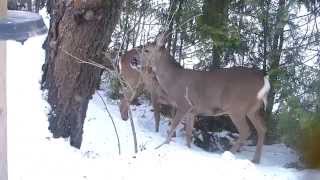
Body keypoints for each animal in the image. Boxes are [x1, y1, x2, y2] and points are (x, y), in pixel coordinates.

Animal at [131, 32, 272, 163]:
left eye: (146, 50)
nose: (133, 60)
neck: (173, 80)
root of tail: (264, 80)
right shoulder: (192, 111)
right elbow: (188, 134)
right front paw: (188, 149)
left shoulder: (184, 104)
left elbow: (172, 128)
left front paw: (162, 145)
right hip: (253, 109)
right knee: (262, 129)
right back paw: (255, 160)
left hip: (237, 107)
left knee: (246, 131)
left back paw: (228, 155)